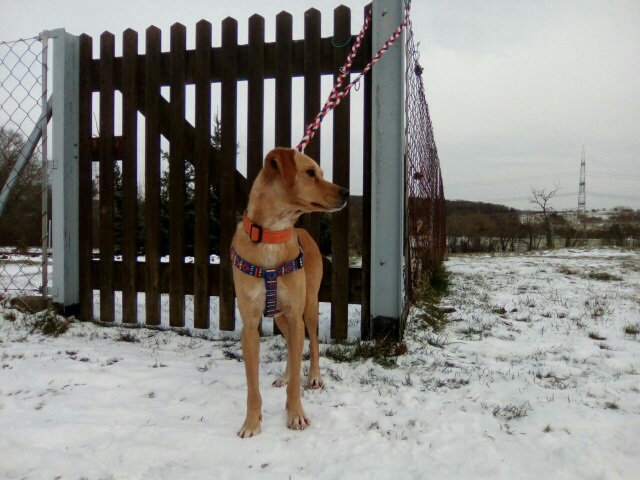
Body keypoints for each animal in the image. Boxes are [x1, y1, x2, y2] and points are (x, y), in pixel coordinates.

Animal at [230, 147, 349, 438]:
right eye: (310, 172)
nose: (346, 192)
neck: (272, 235)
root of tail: (302, 230)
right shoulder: (250, 325)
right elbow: (252, 385)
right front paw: (251, 422)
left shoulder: (296, 317)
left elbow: (297, 376)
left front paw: (295, 414)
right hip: (281, 316)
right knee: (290, 346)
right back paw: (284, 375)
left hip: (309, 307)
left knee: (313, 343)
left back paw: (315, 376)